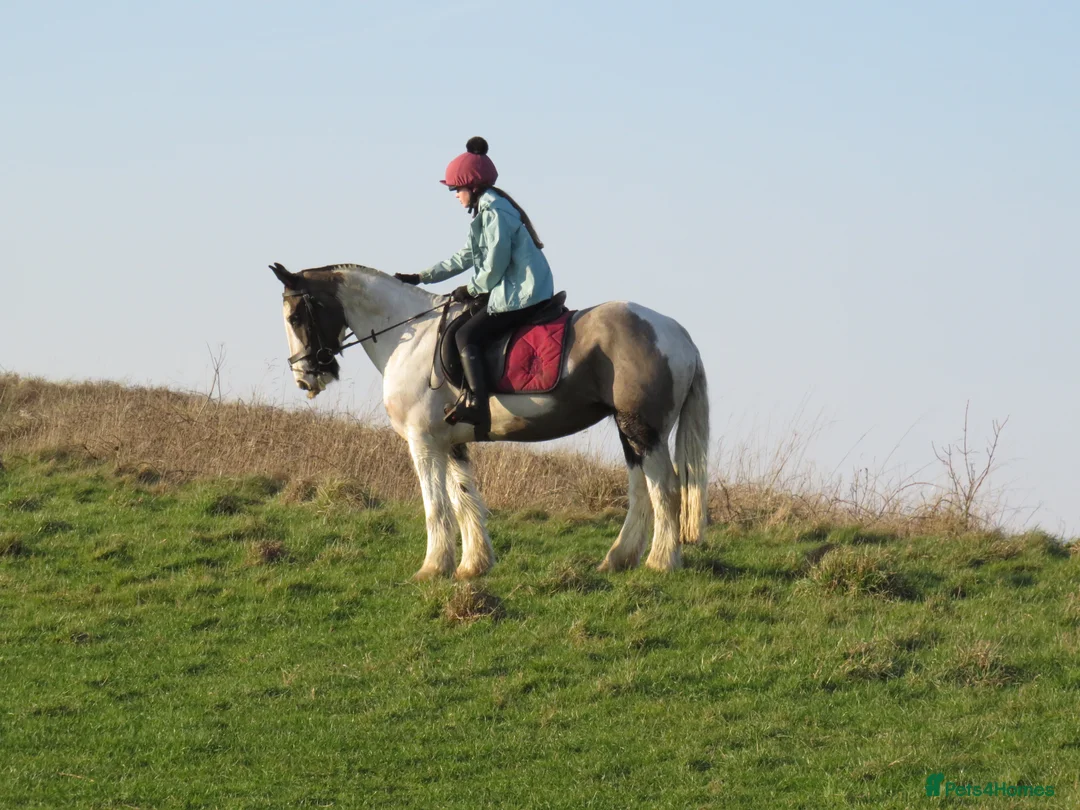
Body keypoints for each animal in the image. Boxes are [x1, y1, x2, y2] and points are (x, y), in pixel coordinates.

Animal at [270, 262, 709, 580]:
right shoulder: (450, 442)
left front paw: (432, 568)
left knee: (666, 488)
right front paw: (472, 566)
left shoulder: (422, 441)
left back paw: (661, 562)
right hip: (629, 430)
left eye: (295, 317)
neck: (410, 336)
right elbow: (464, 499)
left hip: (644, 429)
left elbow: (436, 505)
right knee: (642, 490)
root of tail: (678, 334)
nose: (304, 377)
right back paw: (618, 559)